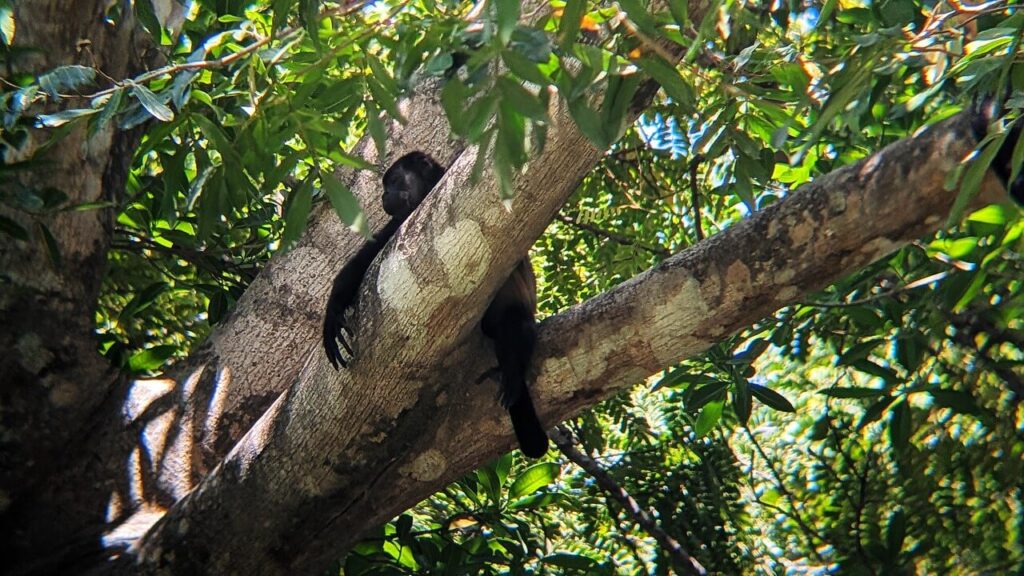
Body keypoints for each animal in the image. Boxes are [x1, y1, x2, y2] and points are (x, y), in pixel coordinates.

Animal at [322, 151, 549, 458]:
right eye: (386, 186)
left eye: (394, 180)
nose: (384, 195)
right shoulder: (402, 221)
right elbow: (368, 258)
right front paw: (332, 313)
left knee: (517, 322)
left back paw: (513, 374)